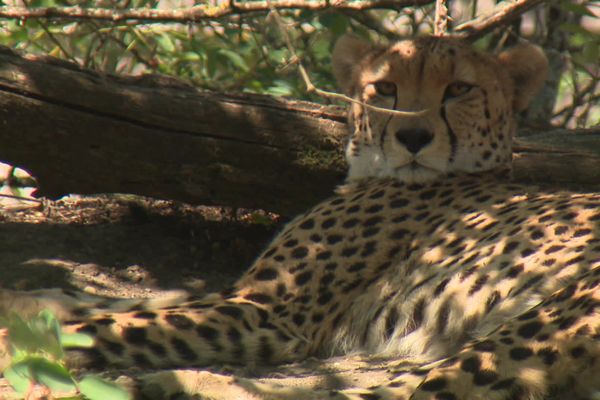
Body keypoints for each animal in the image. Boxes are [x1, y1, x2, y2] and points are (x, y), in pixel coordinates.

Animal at [1, 35, 600, 400]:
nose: (413, 136)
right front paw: (26, 302)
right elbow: (103, 301)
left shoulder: (270, 312)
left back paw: (176, 381)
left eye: (459, 90)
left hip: (534, 324)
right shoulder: (243, 295)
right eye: (385, 88)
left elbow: (114, 323)